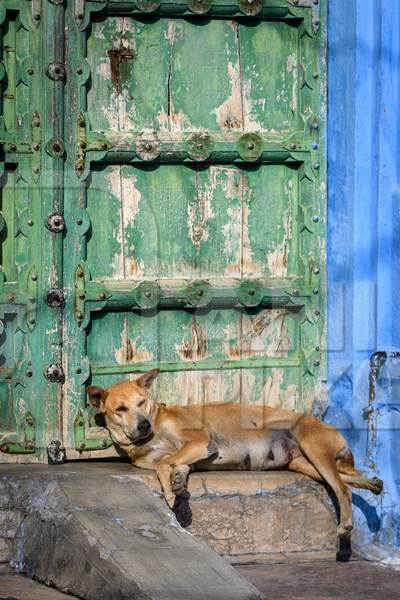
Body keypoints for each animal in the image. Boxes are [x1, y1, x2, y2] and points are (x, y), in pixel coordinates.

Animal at [88, 370, 384, 544]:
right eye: (121, 409)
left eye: (141, 402)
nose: (144, 425)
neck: (152, 432)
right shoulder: (187, 456)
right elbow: (171, 466)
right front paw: (177, 488)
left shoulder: (200, 442)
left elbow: (164, 463)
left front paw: (172, 493)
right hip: (304, 462)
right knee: (349, 478)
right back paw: (373, 483)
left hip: (313, 446)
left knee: (342, 487)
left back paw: (346, 523)